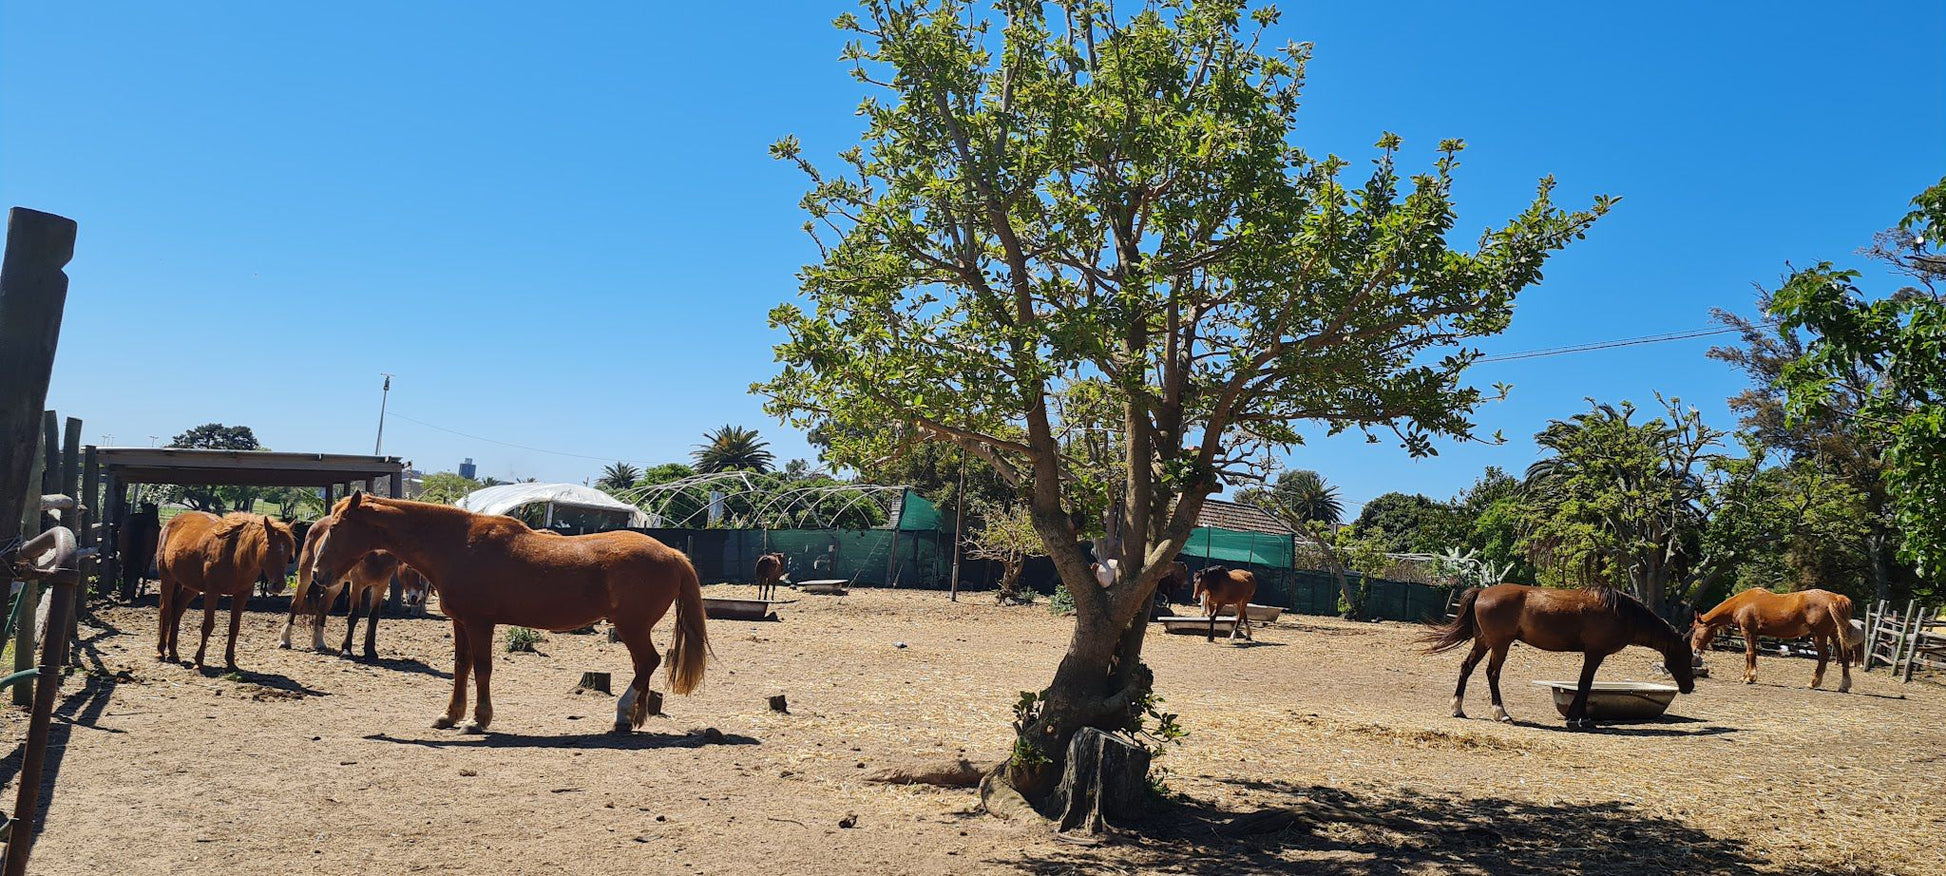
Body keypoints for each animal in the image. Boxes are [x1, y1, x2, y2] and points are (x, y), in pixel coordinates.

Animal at [153, 510, 295, 665]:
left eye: (288, 551)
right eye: (269, 547)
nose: (278, 585)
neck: (235, 557)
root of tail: (170, 523)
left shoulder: (241, 595)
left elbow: (234, 627)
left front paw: (231, 661)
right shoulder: (212, 592)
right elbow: (208, 626)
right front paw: (199, 660)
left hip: (191, 587)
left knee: (178, 610)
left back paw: (173, 652)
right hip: (167, 578)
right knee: (166, 610)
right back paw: (160, 651)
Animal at [315, 496, 712, 735]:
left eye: (335, 527)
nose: (319, 573)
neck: (458, 545)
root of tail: (673, 554)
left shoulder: (480, 623)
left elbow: (482, 667)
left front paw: (478, 720)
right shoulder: (461, 622)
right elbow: (462, 666)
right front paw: (451, 715)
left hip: (632, 627)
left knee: (647, 662)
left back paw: (622, 714)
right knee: (644, 665)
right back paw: (634, 717)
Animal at [1424, 580, 1696, 731]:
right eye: (1686, 655)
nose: (1689, 687)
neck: (1622, 613)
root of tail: (1482, 592)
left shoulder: (1592, 655)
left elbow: (1586, 685)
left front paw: (1580, 717)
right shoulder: (1594, 654)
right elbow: (1585, 684)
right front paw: (1579, 719)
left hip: (1483, 642)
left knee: (1466, 667)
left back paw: (1458, 708)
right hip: (1500, 644)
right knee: (1492, 673)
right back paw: (1501, 713)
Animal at [1696, 587, 1860, 693]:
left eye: (1695, 631)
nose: (1695, 650)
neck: (1742, 603)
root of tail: (1835, 597)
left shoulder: (1748, 632)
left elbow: (1750, 654)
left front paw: (1749, 677)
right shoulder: (1754, 635)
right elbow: (1750, 654)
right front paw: (1745, 676)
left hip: (1819, 635)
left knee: (1824, 657)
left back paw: (1813, 683)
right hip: (1833, 634)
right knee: (1844, 657)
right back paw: (1844, 686)